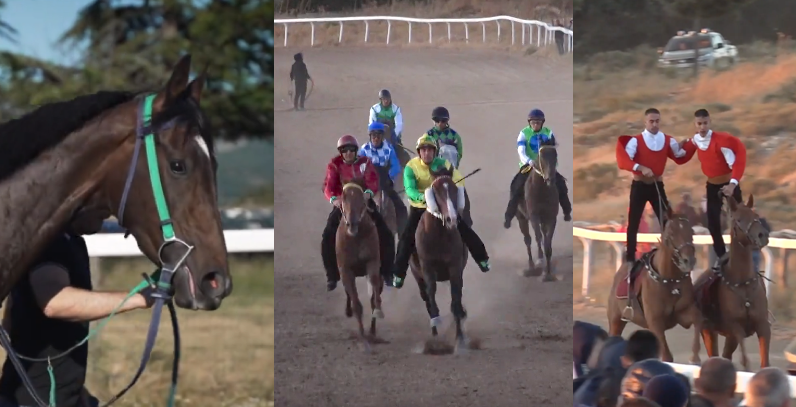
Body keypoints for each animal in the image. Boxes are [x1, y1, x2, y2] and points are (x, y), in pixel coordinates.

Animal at [338, 179, 384, 350]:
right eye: (343, 197)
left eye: (362, 200)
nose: (352, 224)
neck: (356, 237)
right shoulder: (346, 270)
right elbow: (356, 303)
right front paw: (363, 335)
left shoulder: (372, 262)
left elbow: (374, 297)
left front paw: (376, 317)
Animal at [408, 166, 470, 354]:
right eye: (435, 191)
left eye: (454, 188)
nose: (451, 219)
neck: (439, 236)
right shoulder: (427, 268)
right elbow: (432, 302)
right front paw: (437, 341)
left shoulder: (455, 268)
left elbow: (455, 303)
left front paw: (460, 340)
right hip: (417, 276)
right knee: (427, 301)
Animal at [520, 137, 564, 280]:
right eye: (542, 156)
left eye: (555, 155)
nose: (550, 179)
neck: (542, 191)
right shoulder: (534, 216)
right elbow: (538, 237)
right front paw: (540, 260)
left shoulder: (551, 218)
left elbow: (548, 242)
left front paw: (548, 273)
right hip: (521, 218)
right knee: (527, 239)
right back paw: (532, 266)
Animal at [608, 207, 700, 364]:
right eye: (672, 233)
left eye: (692, 232)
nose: (689, 261)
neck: (669, 280)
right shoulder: (655, 323)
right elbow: (667, 356)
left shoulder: (684, 313)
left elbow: (698, 321)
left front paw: (695, 357)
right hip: (616, 320)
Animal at [696, 193, 772, 372]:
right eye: (738, 219)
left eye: (755, 216)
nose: (762, 236)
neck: (743, 283)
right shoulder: (736, 328)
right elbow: (745, 361)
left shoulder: (763, 325)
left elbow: (765, 362)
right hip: (708, 330)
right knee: (715, 354)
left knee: (725, 355)